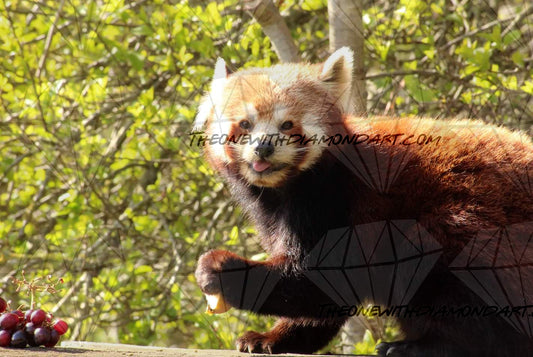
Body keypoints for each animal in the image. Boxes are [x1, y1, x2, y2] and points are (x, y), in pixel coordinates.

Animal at [193, 48, 528, 356]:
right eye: (245, 124)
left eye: (287, 124)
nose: (264, 147)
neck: (285, 186)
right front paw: (275, 338)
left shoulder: (337, 199)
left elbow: (322, 276)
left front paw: (219, 269)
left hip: (475, 220)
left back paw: (427, 345)